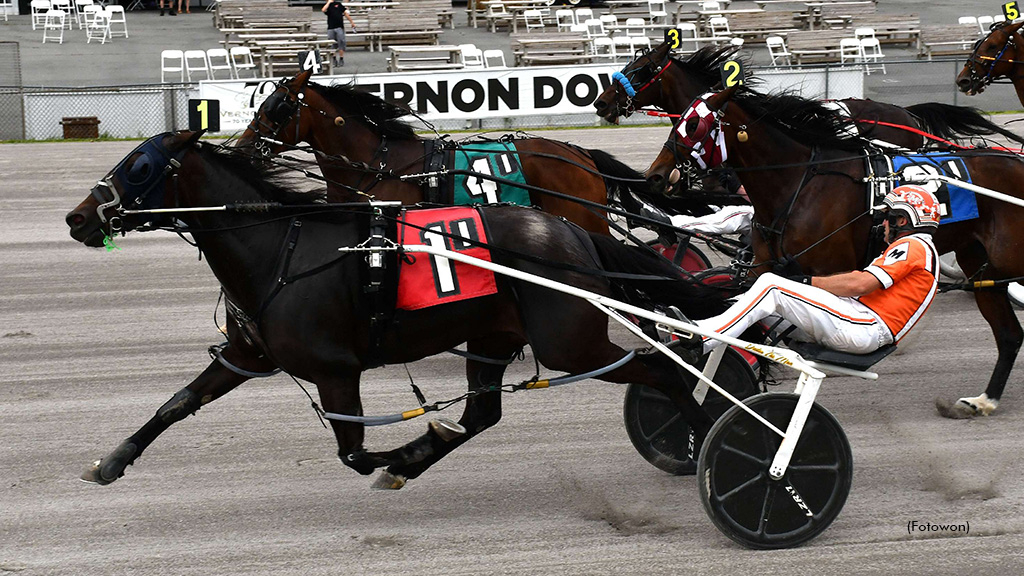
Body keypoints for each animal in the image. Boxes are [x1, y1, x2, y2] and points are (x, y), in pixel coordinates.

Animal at [643, 85, 1024, 416]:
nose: (656, 175)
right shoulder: (760, 266)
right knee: (1009, 334)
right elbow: (740, 303)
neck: (799, 185)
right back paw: (984, 400)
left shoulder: (832, 270)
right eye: (678, 118)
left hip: (1008, 260)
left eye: (694, 124)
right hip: (980, 262)